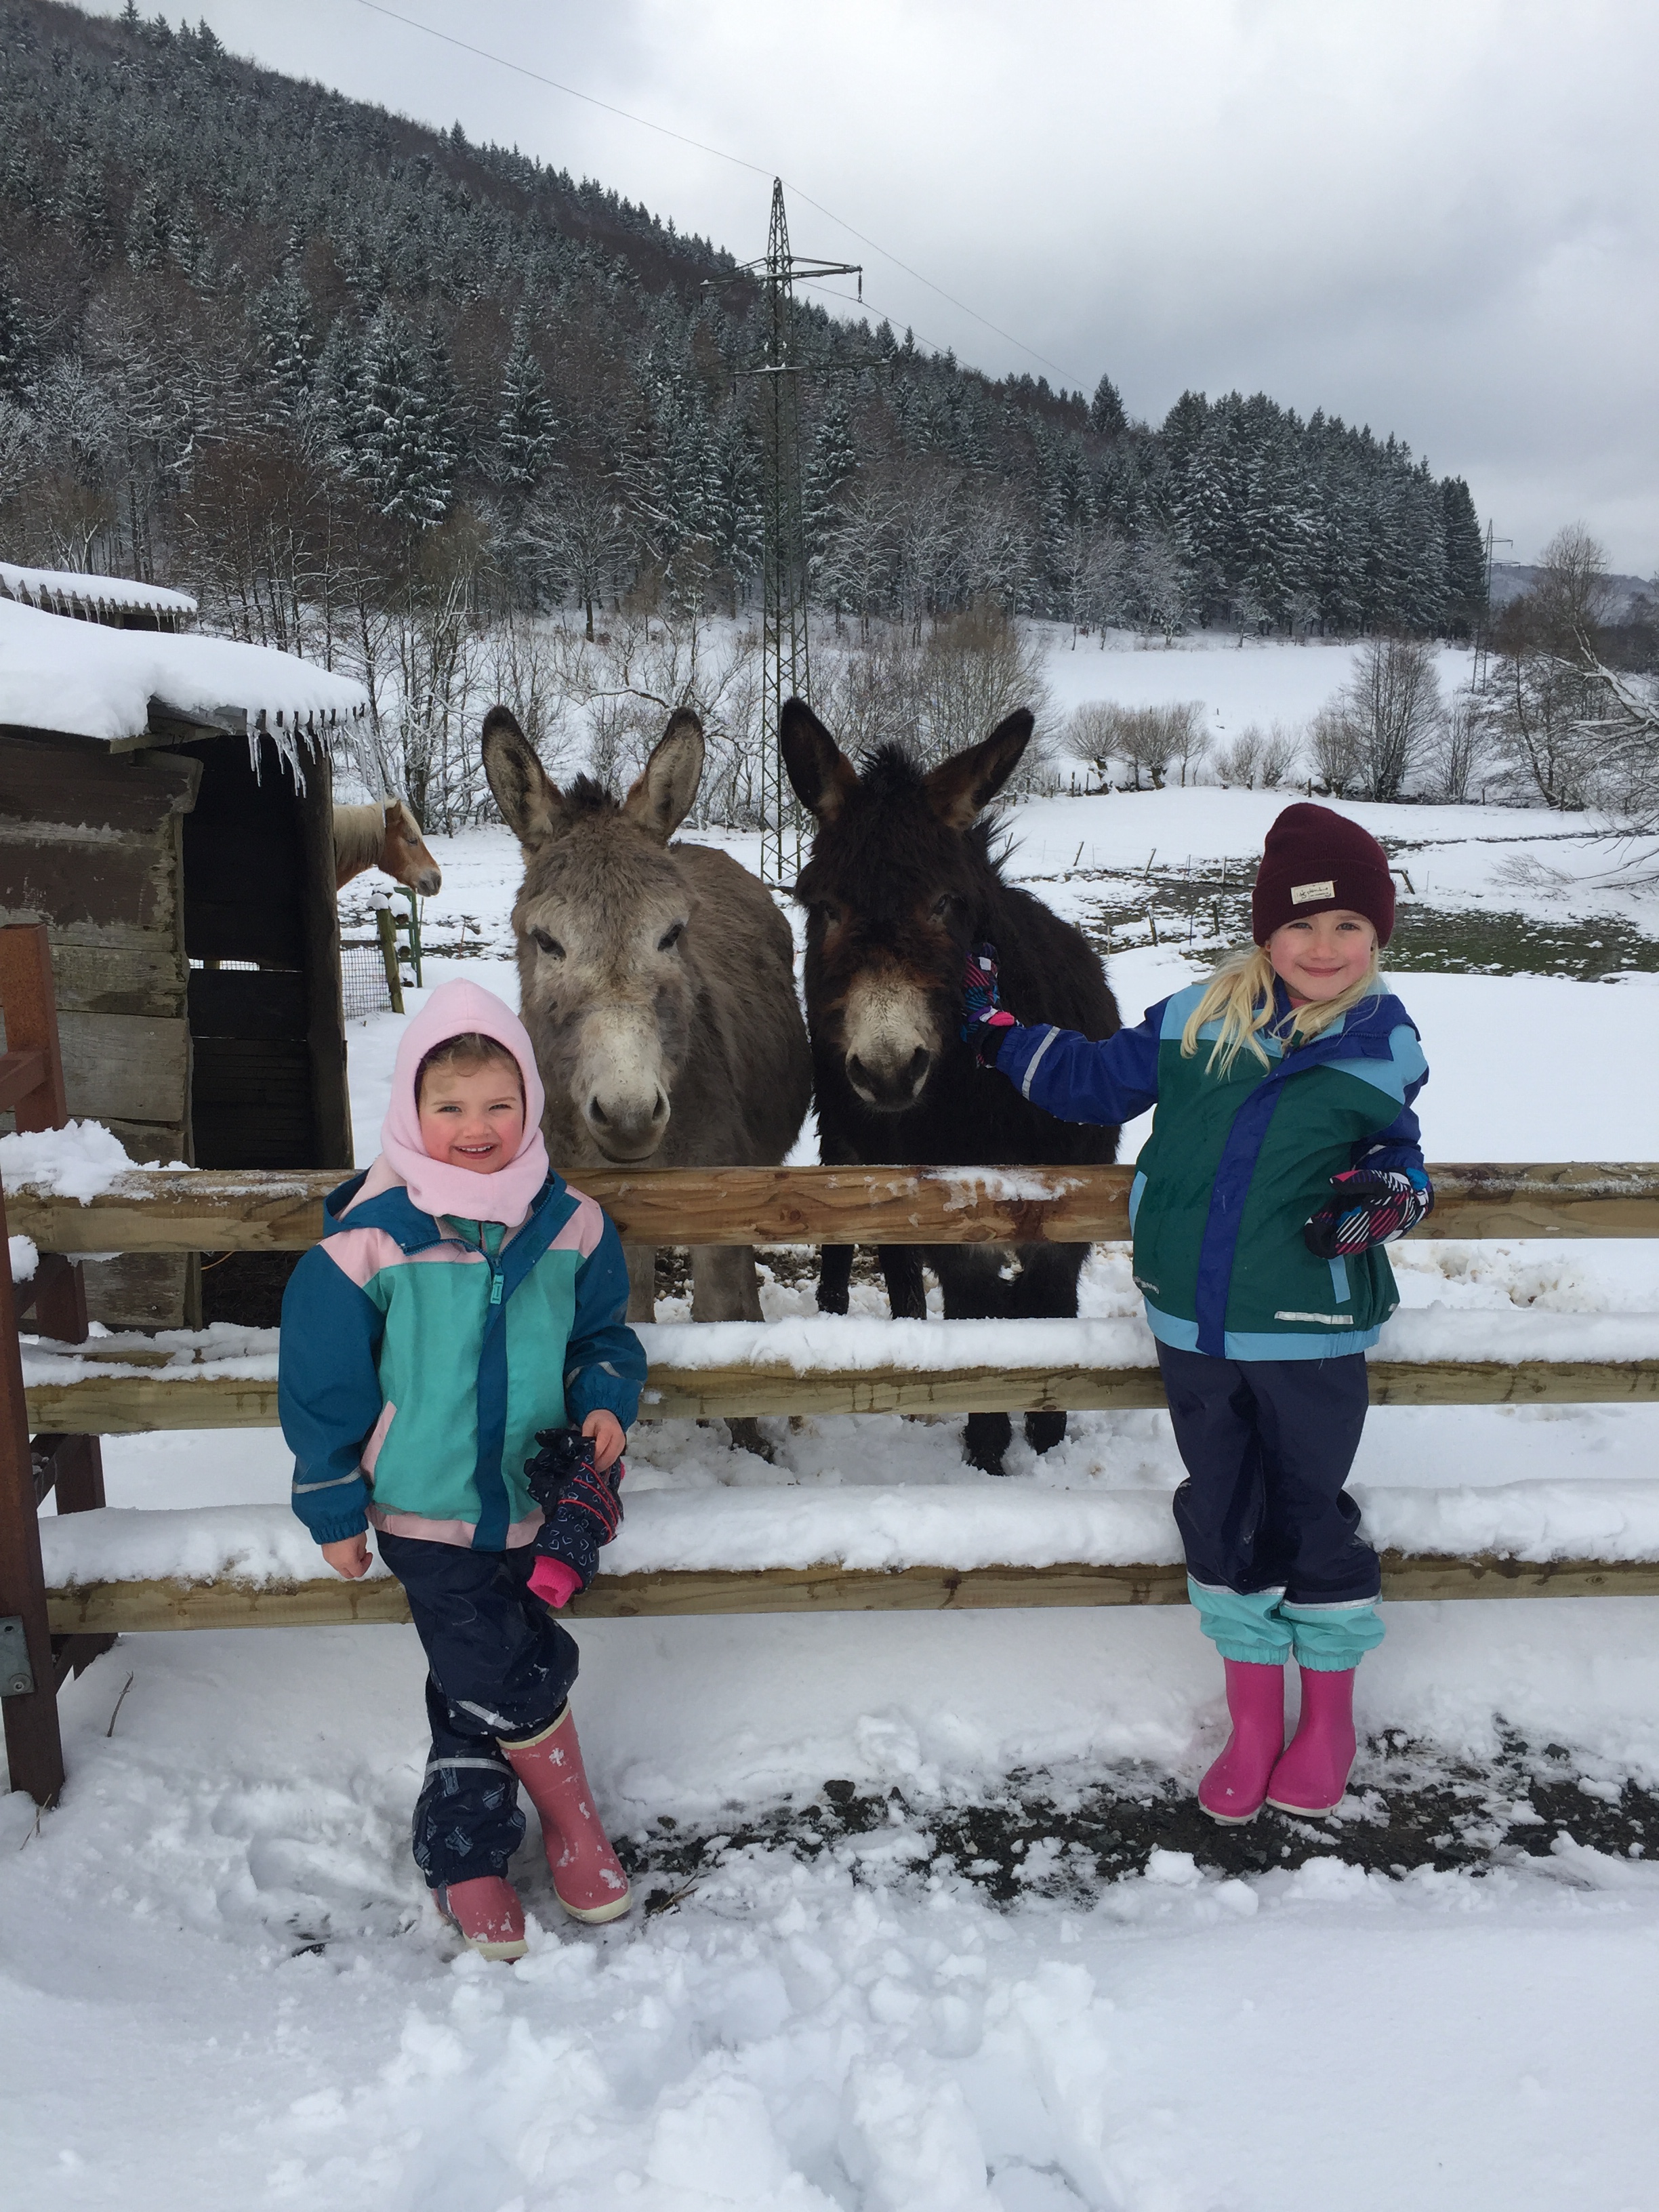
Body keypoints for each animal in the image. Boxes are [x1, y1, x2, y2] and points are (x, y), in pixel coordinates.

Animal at [482, 702, 812, 1448]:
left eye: (672, 935)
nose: (630, 1114)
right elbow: (626, 1315)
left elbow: (725, 1322)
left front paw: (748, 1441)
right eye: (546, 941)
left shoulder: (722, 1200)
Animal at [780, 695, 1122, 1476]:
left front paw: (1048, 1438)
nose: (887, 1069)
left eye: (947, 904)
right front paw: (989, 1451)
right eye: (824, 908)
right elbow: (978, 1320)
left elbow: (1048, 1308)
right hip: (852, 1140)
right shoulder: (946, 1211)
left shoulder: (1071, 1205)